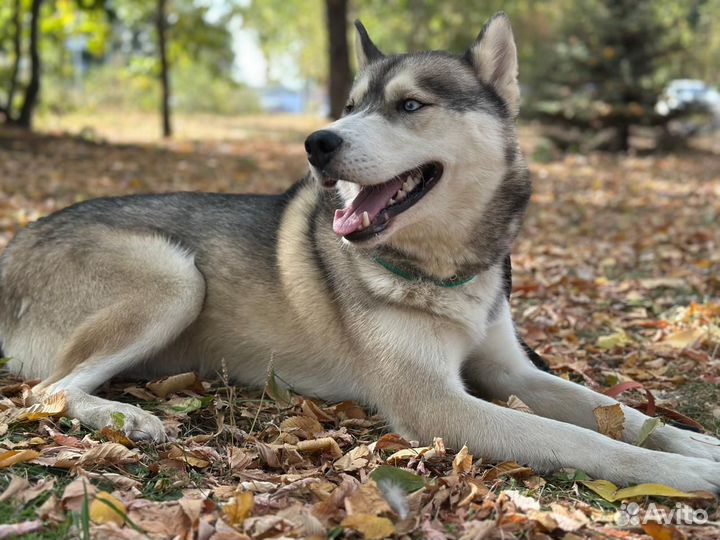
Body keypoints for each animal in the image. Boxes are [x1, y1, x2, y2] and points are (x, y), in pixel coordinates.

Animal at [1, 12, 720, 492]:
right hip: (177, 277)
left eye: (409, 105)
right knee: (47, 391)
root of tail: (14, 243)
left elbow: (617, 412)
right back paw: (126, 419)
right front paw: (680, 473)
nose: (317, 142)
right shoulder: (437, 405)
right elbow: (583, 439)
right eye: (350, 107)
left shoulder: (512, 372)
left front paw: (699, 444)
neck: (446, 272)